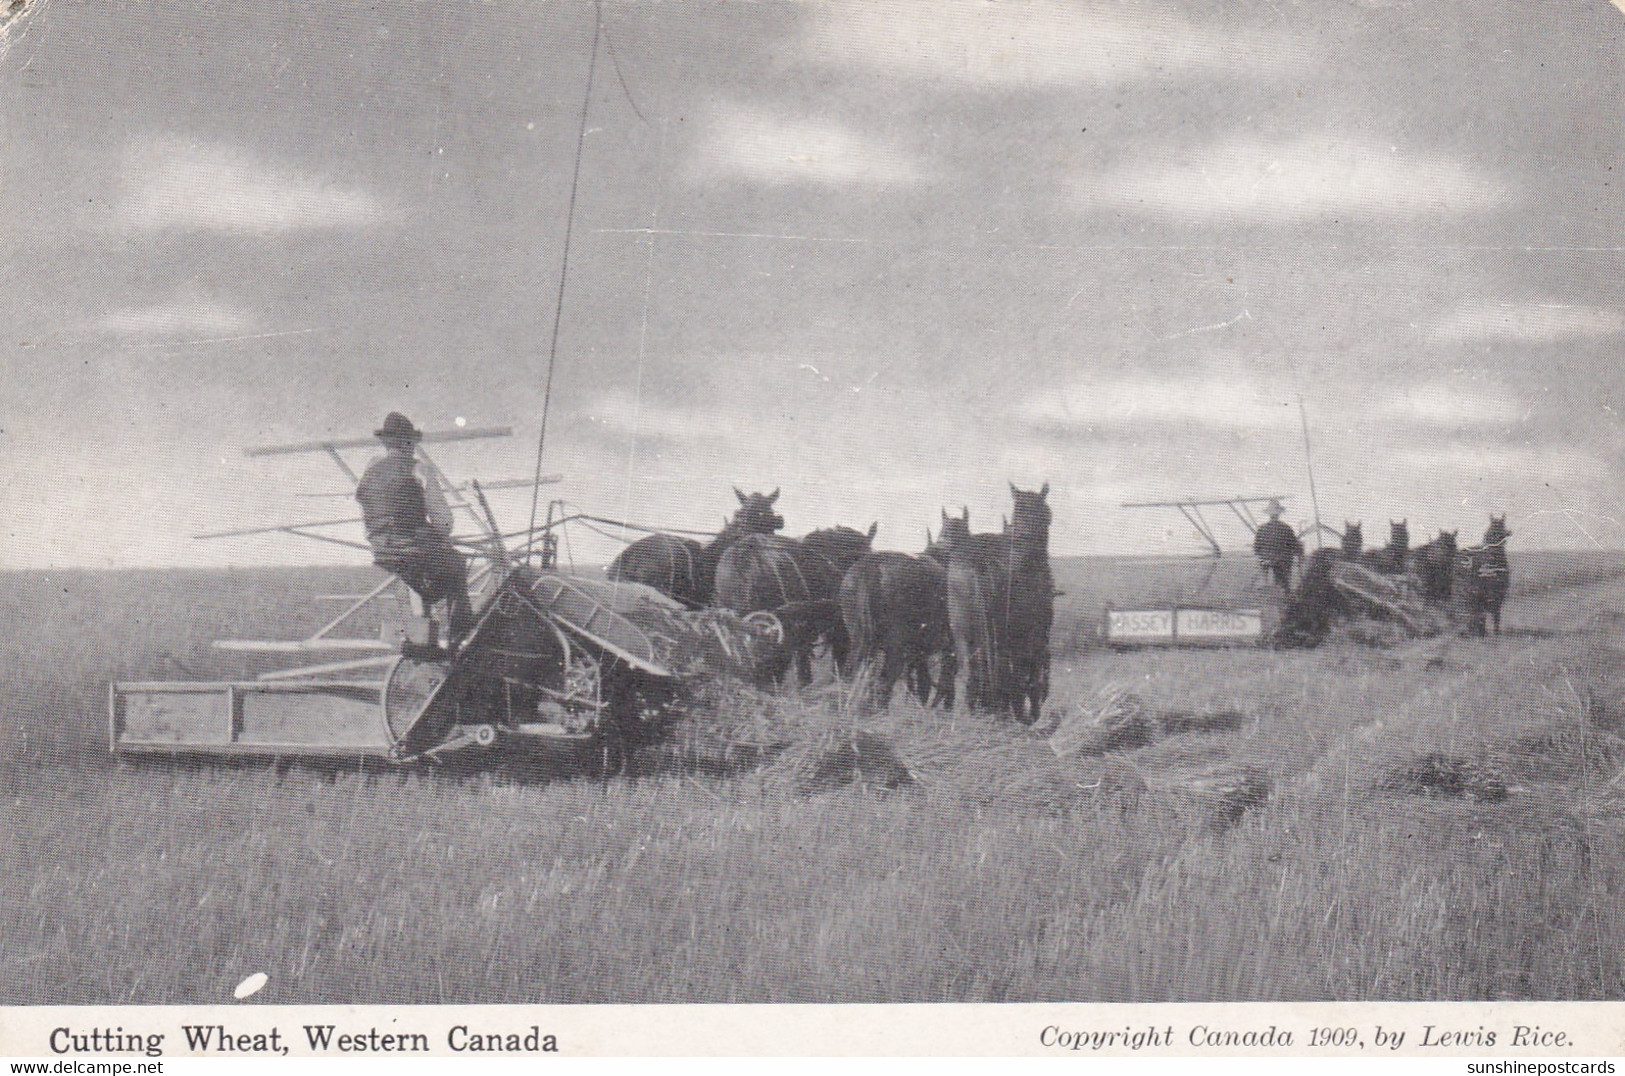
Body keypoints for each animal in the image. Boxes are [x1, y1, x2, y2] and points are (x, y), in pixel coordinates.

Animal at [838, 513, 962, 708]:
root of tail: (872, 565)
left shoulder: (920, 653)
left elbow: (925, 685)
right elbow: (941, 684)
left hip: (861, 640)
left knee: (850, 677)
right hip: (895, 645)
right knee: (885, 681)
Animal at [942, 487, 1053, 724]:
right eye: (1047, 514)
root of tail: (978, 561)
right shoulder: (1036, 637)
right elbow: (1030, 676)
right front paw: (1029, 713)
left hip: (964, 633)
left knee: (969, 673)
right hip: (1003, 636)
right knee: (1005, 675)